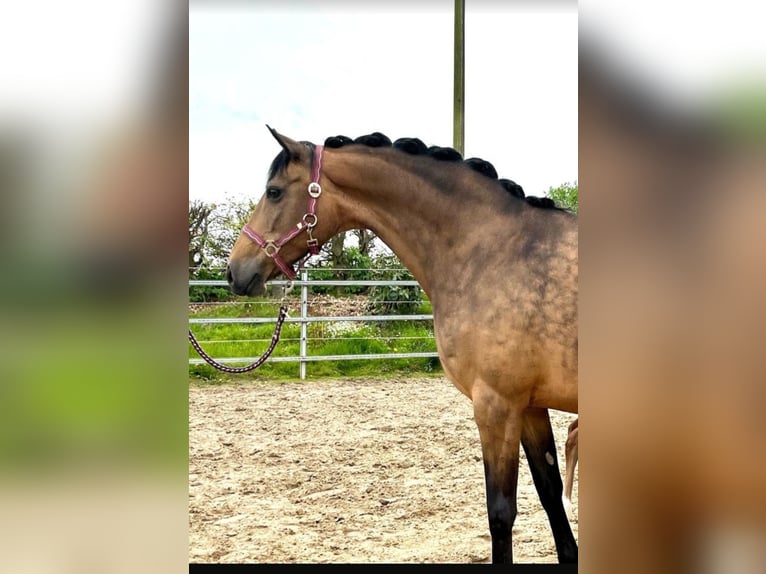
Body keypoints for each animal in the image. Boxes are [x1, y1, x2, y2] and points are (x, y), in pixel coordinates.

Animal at [225, 127, 580, 568]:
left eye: (273, 192)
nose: (234, 271)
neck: (491, 251)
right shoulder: (528, 406)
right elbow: (551, 495)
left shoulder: (496, 406)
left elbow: (501, 513)